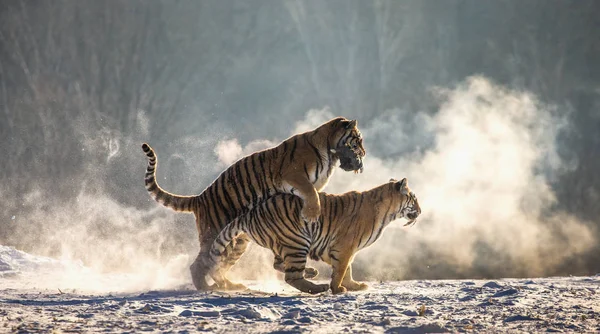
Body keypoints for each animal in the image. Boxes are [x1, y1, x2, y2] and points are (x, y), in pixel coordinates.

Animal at [142, 117, 366, 290]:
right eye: (358, 139)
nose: (363, 155)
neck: (330, 152)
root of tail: (199, 198)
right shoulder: (294, 175)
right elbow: (312, 195)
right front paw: (312, 214)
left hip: (238, 243)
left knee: (221, 265)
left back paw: (231, 285)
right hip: (214, 231)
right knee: (201, 263)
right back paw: (205, 287)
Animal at [209, 179, 420, 294]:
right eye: (414, 199)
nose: (420, 210)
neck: (388, 214)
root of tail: (250, 213)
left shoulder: (338, 249)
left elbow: (346, 269)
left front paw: (354, 285)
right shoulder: (345, 246)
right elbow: (342, 269)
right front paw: (338, 288)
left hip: (284, 244)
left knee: (279, 265)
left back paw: (311, 272)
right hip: (297, 242)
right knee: (291, 277)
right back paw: (318, 287)